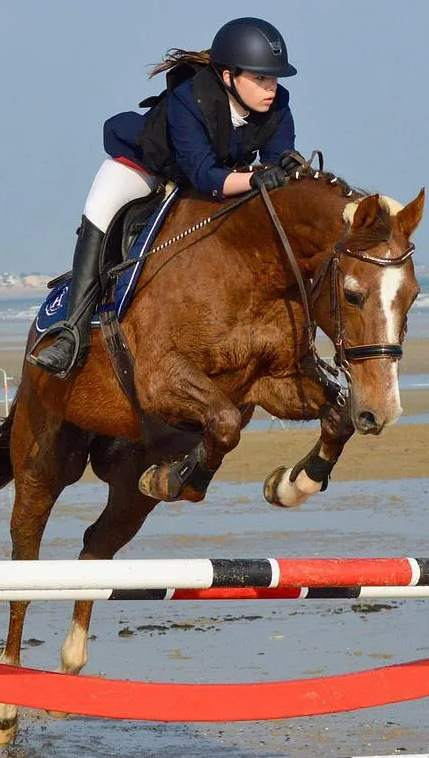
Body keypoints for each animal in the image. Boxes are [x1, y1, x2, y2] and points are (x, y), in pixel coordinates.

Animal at [0, 163, 423, 742]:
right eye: (354, 295)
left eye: (414, 295)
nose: (382, 410)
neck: (250, 260)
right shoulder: (162, 379)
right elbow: (223, 423)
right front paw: (184, 479)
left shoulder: (275, 383)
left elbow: (328, 419)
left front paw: (290, 484)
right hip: (45, 454)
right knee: (27, 558)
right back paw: (10, 705)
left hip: (127, 484)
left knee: (96, 547)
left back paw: (70, 667)